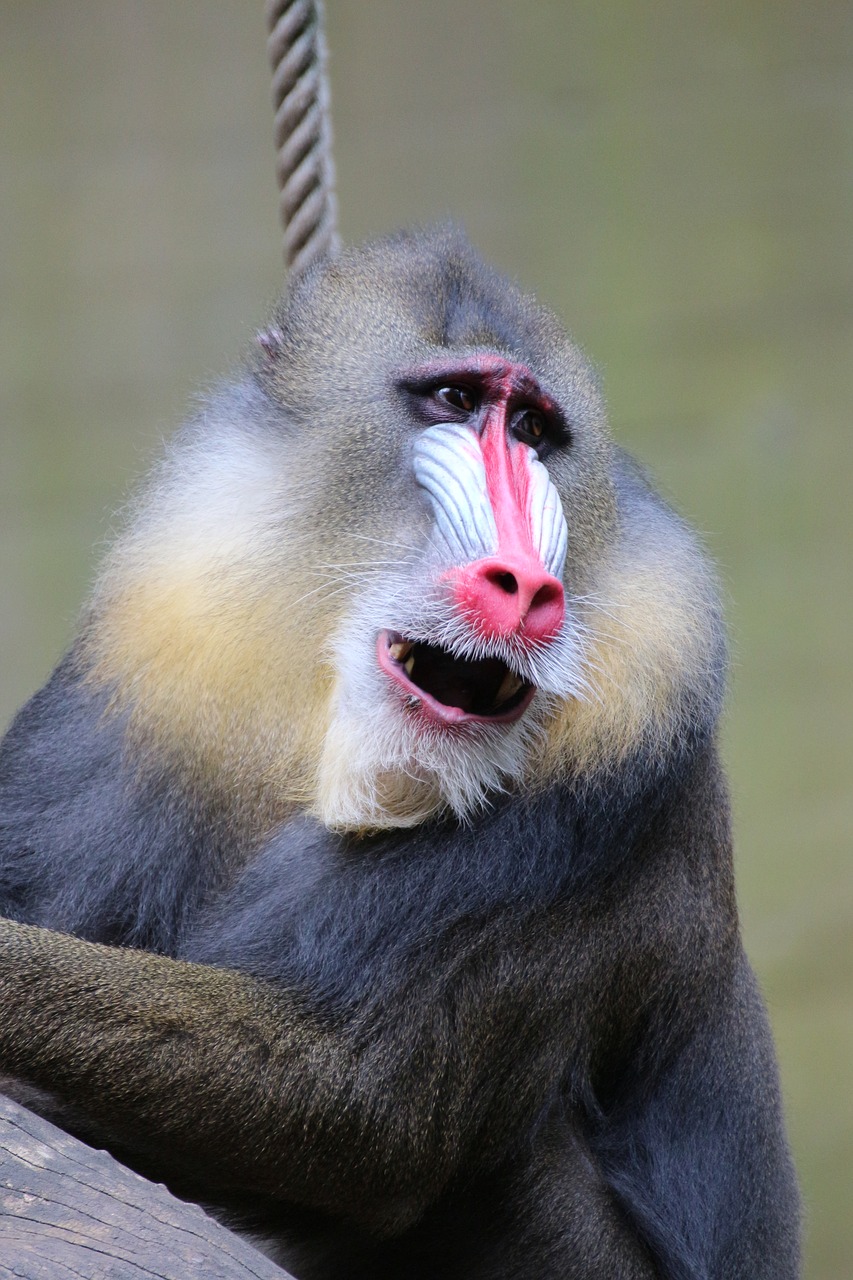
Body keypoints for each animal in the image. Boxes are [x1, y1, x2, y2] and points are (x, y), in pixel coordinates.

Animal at [0, 225, 799, 1274]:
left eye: (532, 428)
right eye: (454, 400)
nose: (522, 584)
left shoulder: (629, 720)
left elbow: (351, 1097)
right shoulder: (164, 638)